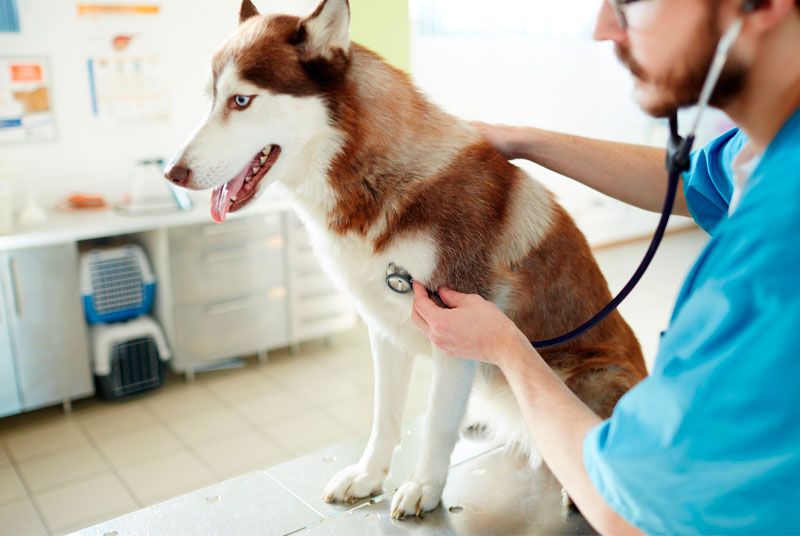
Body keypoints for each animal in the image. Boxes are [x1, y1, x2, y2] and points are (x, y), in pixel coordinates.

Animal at [166, 0, 648, 520]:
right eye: (209, 99)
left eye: (241, 101)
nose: (172, 172)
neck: (376, 182)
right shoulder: (384, 329)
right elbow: (385, 417)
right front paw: (368, 475)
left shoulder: (454, 332)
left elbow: (436, 422)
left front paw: (424, 486)